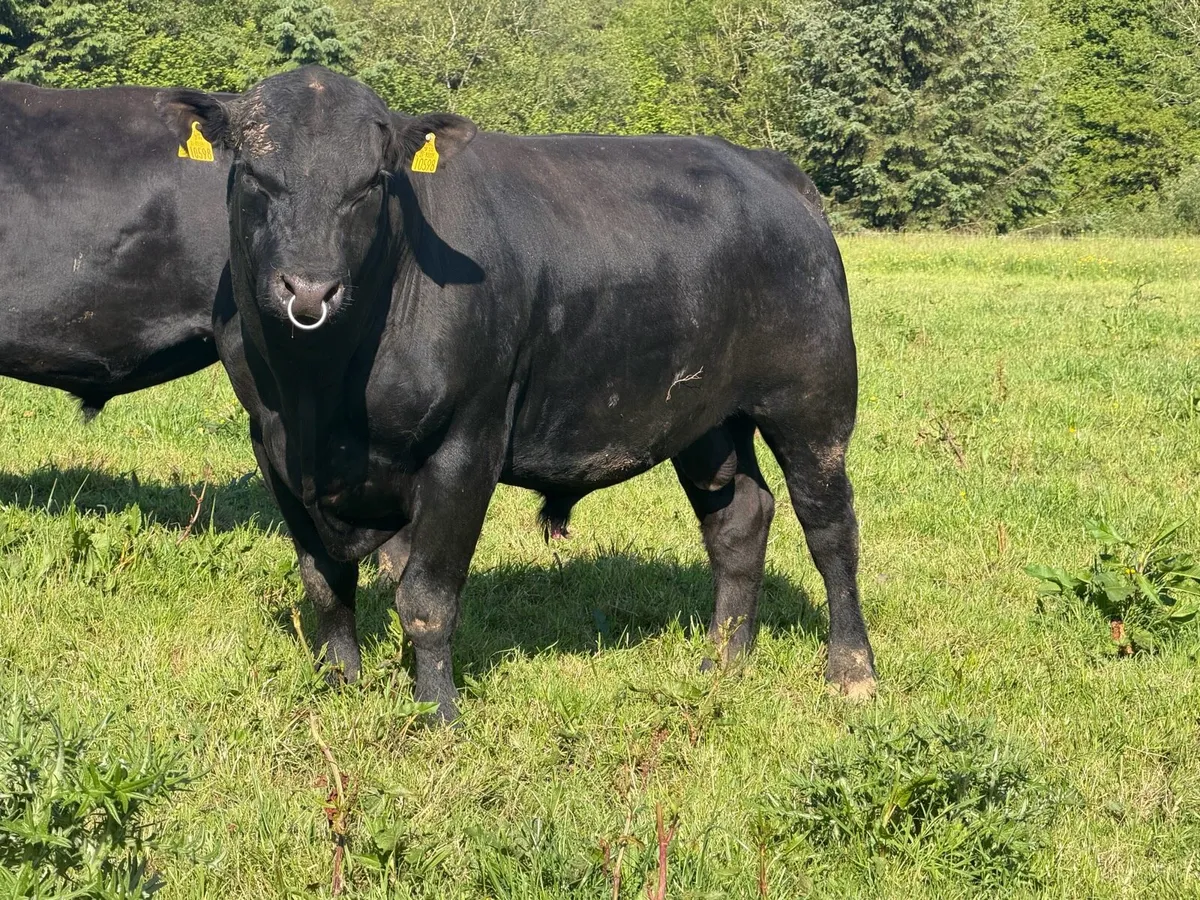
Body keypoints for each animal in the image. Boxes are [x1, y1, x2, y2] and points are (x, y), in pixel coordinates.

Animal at [156, 66, 877, 721]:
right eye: (255, 176)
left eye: (372, 182)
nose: (309, 290)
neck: (319, 392)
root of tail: (767, 167)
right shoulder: (273, 447)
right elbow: (325, 582)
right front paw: (339, 688)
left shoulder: (467, 443)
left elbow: (426, 597)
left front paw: (437, 711)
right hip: (705, 419)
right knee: (739, 521)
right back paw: (723, 661)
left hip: (813, 404)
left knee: (830, 528)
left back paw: (850, 671)